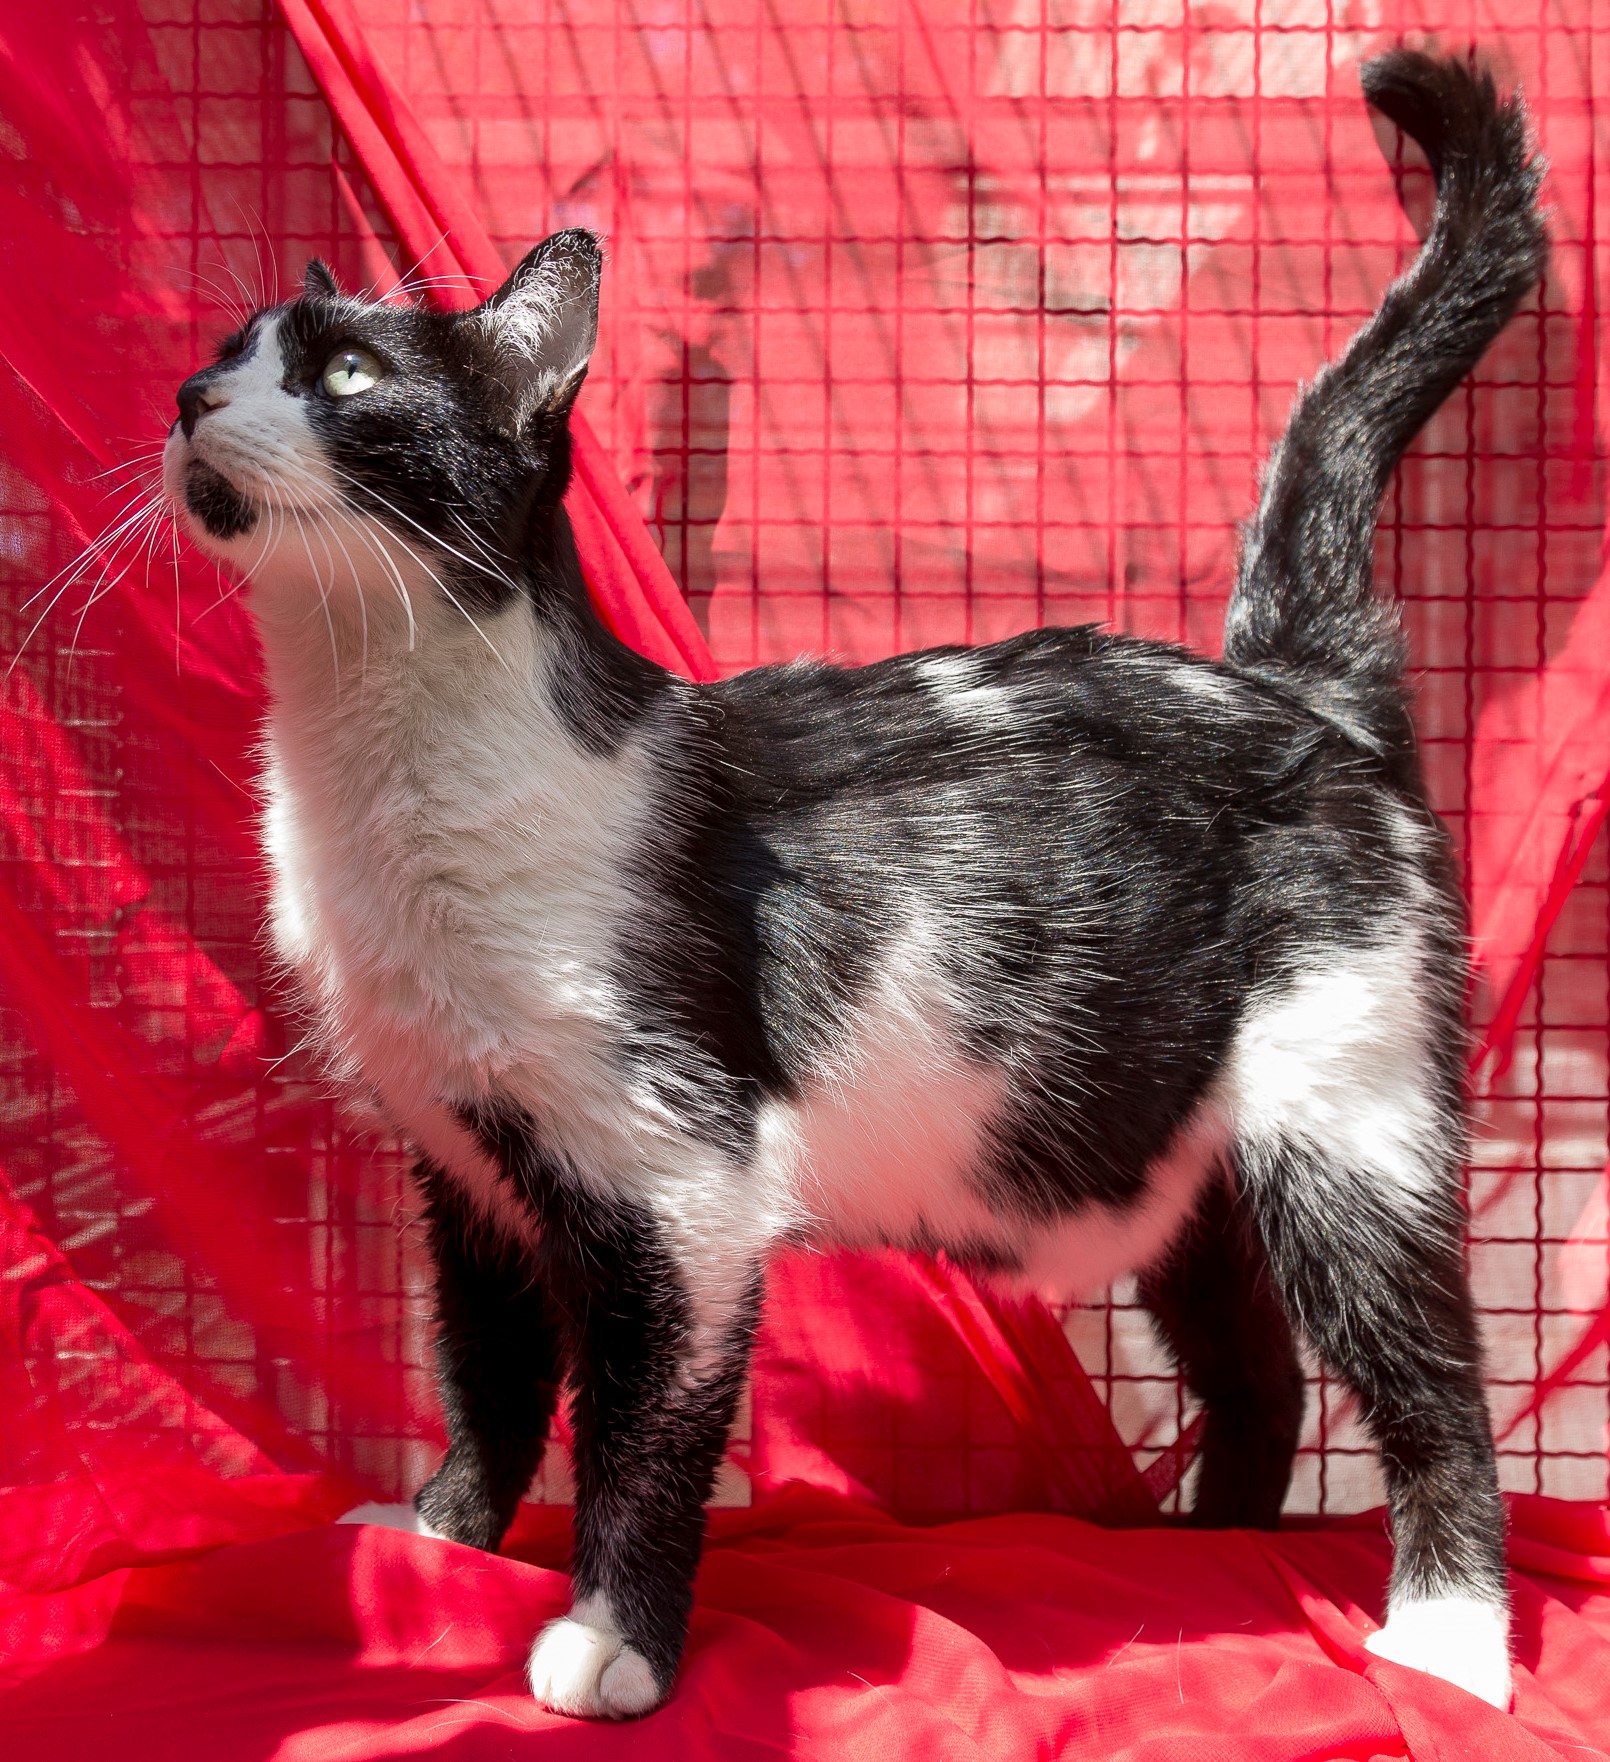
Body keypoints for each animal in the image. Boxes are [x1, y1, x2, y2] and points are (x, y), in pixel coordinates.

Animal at [162, 48, 1543, 1712]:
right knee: (1254, 1362)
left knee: (1428, 1371)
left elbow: (640, 1421)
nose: (190, 395)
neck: (377, 770)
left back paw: (1448, 1637)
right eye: (228, 351)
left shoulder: (677, 1176)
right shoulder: (465, 1158)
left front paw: (611, 1637)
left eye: (352, 375)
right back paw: (1207, 1560)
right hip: (1178, 1156)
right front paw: (442, 1536)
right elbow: (485, 1368)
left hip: (1345, 1106)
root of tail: (1296, 685)